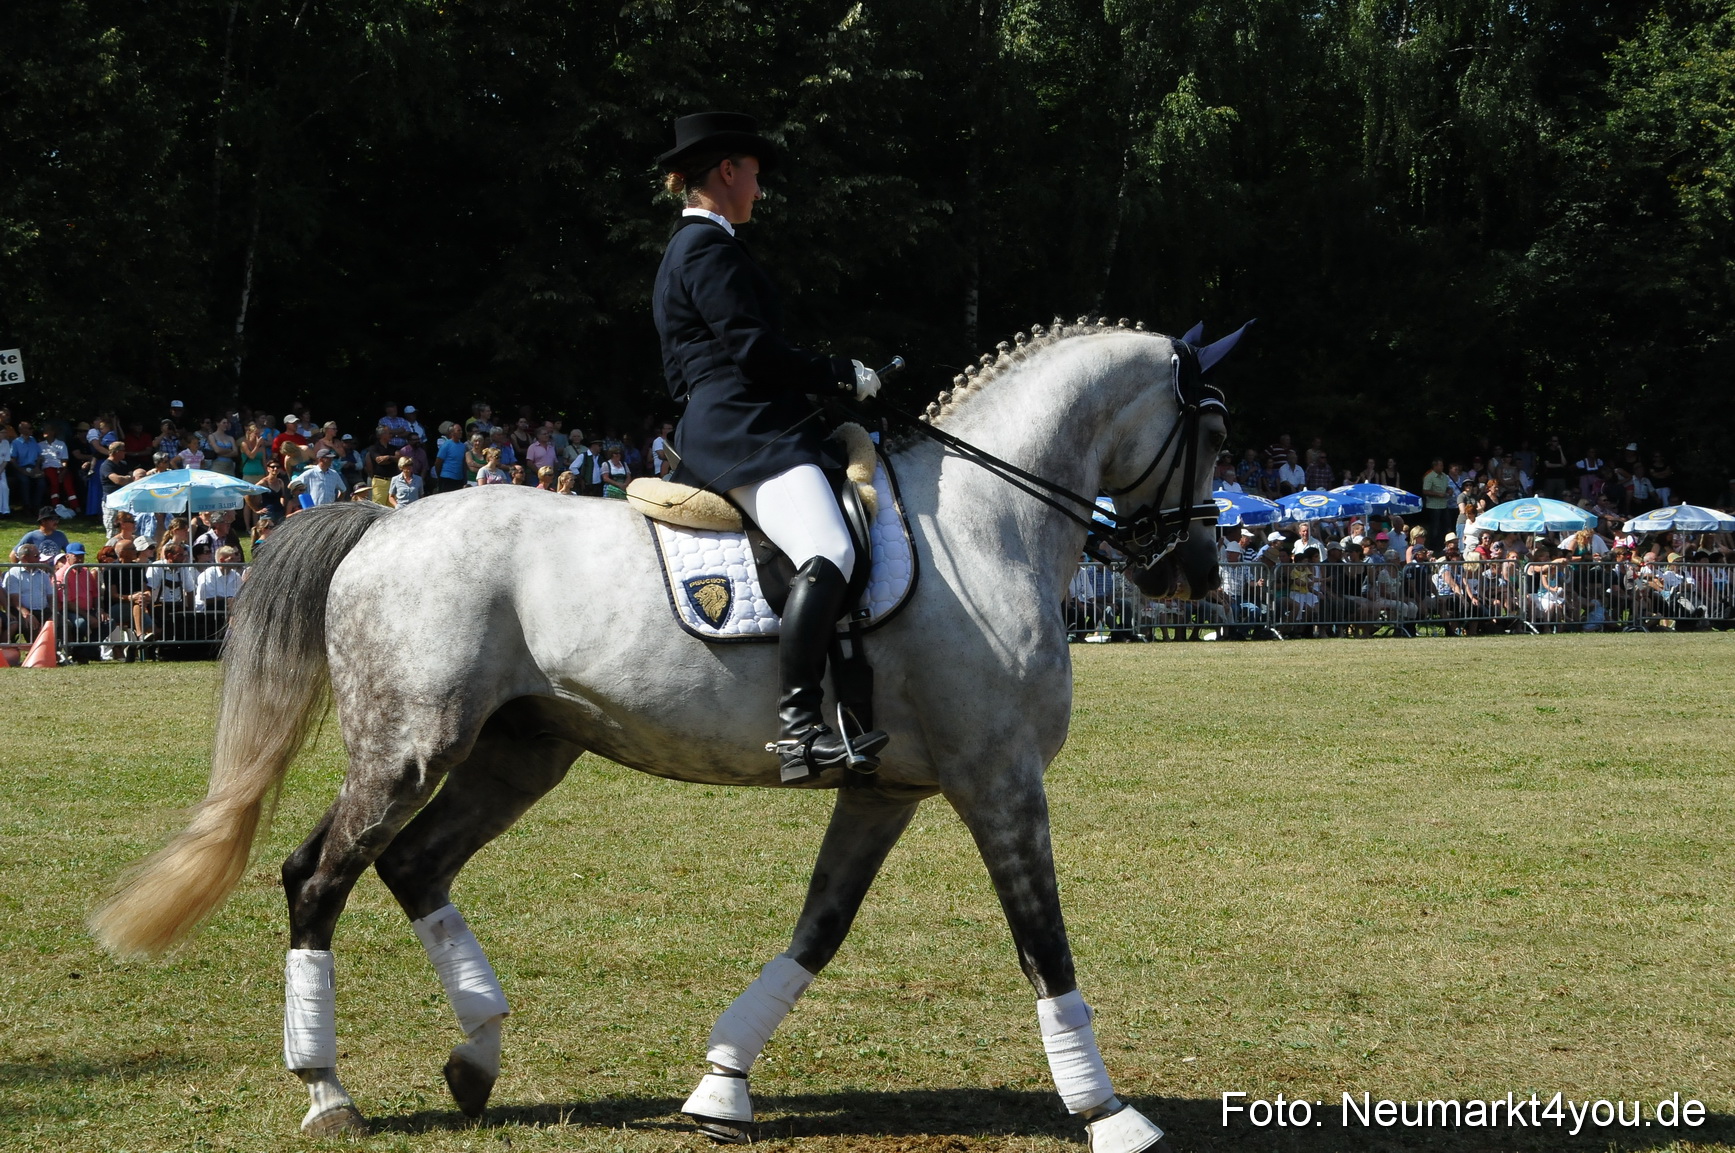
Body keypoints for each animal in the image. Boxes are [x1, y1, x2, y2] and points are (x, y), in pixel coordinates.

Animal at [90, 317, 1227, 1153]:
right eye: (1210, 432)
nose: (1194, 575)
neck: (988, 525)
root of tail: (383, 522)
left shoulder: (886, 789)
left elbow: (820, 927)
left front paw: (721, 1083)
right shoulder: (998, 778)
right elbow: (1044, 938)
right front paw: (1107, 1110)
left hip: (522, 749)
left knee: (414, 866)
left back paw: (477, 1055)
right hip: (409, 745)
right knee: (317, 876)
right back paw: (327, 1089)